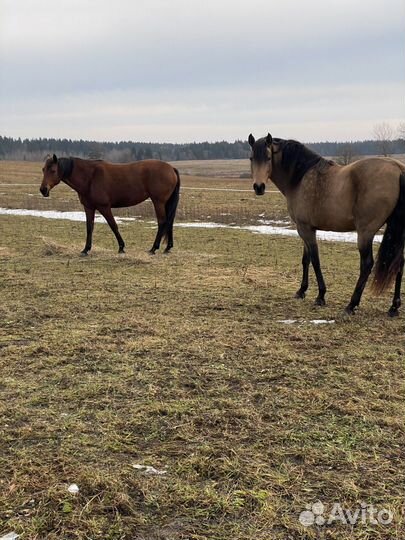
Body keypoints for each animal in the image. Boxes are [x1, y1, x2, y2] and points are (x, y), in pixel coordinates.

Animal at [39, 156, 180, 255]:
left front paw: (121, 247)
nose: (43, 190)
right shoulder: (89, 207)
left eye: (53, 170)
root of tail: (171, 168)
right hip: (166, 202)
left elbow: (113, 225)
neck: (90, 177)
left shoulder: (104, 207)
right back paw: (168, 247)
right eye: (43, 170)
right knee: (169, 222)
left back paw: (153, 248)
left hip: (158, 202)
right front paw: (86, 249)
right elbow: (89, 227)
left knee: (162, 222)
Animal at [246, 132, 404, 314]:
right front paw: (301, 290)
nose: (259, 187)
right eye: (251, 158)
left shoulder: (305, 229)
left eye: (268, 157)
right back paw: (394, 306)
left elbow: (315, 260)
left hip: (365, 232)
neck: (300, 177)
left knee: (367, 264)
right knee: (399, 263)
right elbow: (305, 259)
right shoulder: (306, 229)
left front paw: (320, 295)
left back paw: (352, 304)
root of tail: (398, 169)